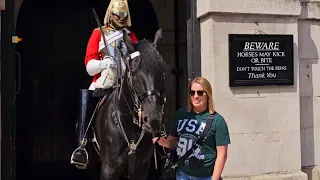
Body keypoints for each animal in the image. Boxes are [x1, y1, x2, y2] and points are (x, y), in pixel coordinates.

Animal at [92, 29, 168, 180]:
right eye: (133, 73)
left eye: (162, 72)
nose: (154, 119)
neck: (130, 127)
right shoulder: (109, 168)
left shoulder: (141, 168)